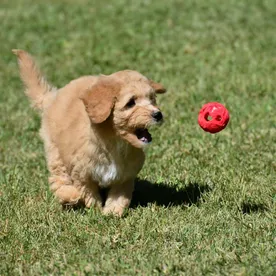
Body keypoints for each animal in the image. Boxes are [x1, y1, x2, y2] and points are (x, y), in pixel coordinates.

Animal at [13, 50, 166, 217]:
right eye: (131, 103)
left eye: (152, 99)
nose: (158, 114)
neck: (115, 142)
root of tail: (52, 97)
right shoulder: (82, 173)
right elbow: (88, 193)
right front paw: (95, 210)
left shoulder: (125, 175)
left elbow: (119, 195)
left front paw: (112, 212)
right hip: (55, 151)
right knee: (58, 178)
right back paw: (69, 195)